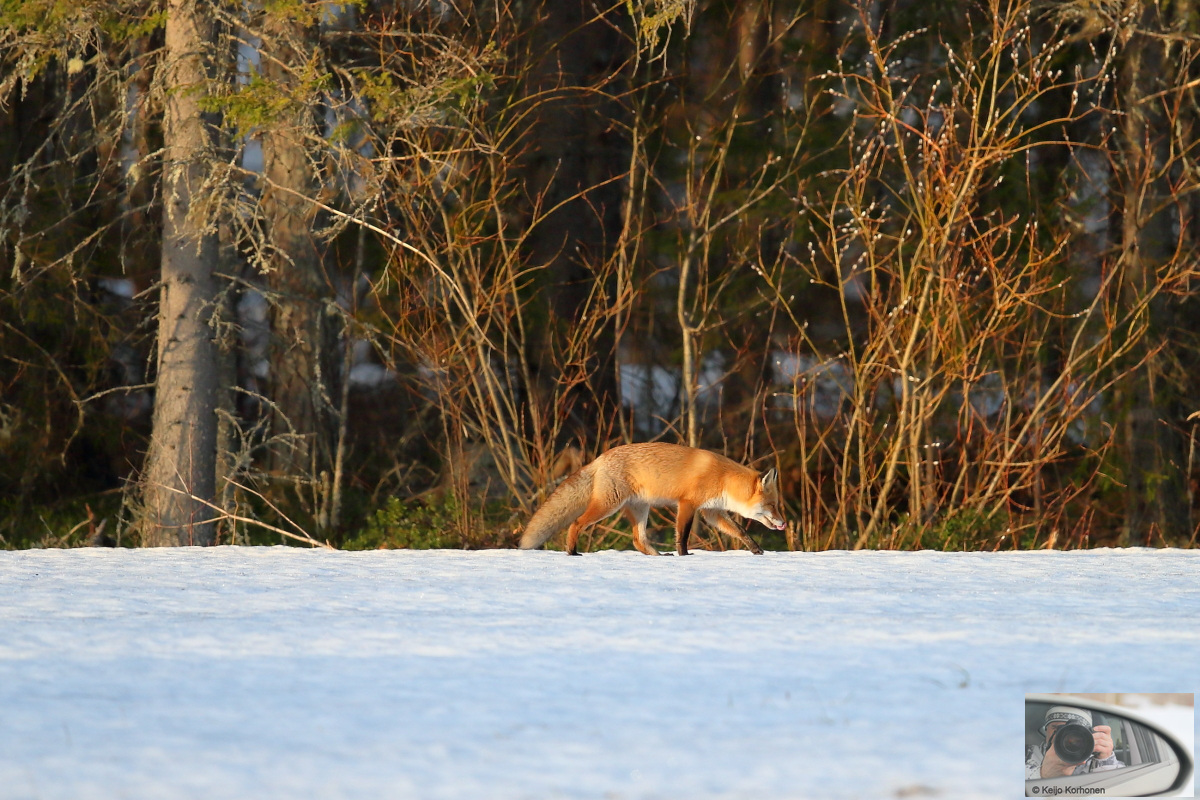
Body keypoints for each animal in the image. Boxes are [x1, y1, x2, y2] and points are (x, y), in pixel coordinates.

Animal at [518, 443, 787, 556]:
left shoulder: (711, 511)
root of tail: (600, 458)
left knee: (638, 540)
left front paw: (755, 549)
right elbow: (683, 535)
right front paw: (684, 555)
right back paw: (572, 552)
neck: (722, 479)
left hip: (640, 509)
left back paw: (657, 557)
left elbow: (740, 530)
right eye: (773, 505)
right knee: (576, 523)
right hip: (608, 506)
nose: (783, 523)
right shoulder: (687, 504)